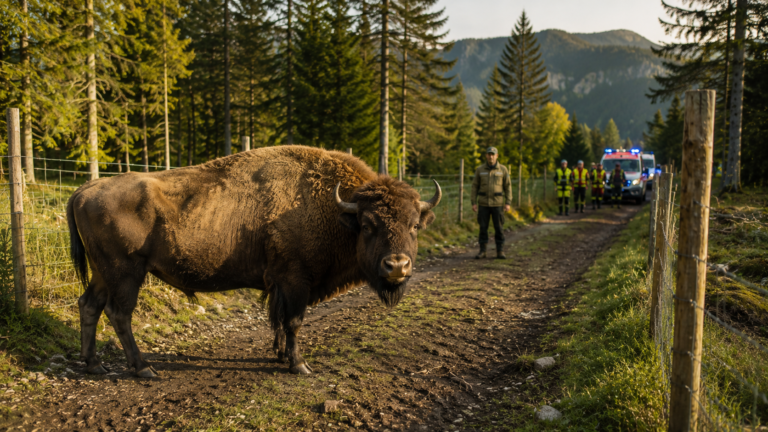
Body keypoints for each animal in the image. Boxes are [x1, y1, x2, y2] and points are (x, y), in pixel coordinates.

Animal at [67, 146, 440, 376]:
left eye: (413, 225)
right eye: (367, 225)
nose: (396, 267)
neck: (336, 209)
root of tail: (84, 190)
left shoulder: (280, 285)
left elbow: (279, 321)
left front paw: (280, 355)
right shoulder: (295, 281)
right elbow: (294, 321)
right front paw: (299, 365)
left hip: (102, 273)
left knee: (89, 305)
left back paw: (94, 365)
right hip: (126, 272)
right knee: (119, 314)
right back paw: (144, 368)